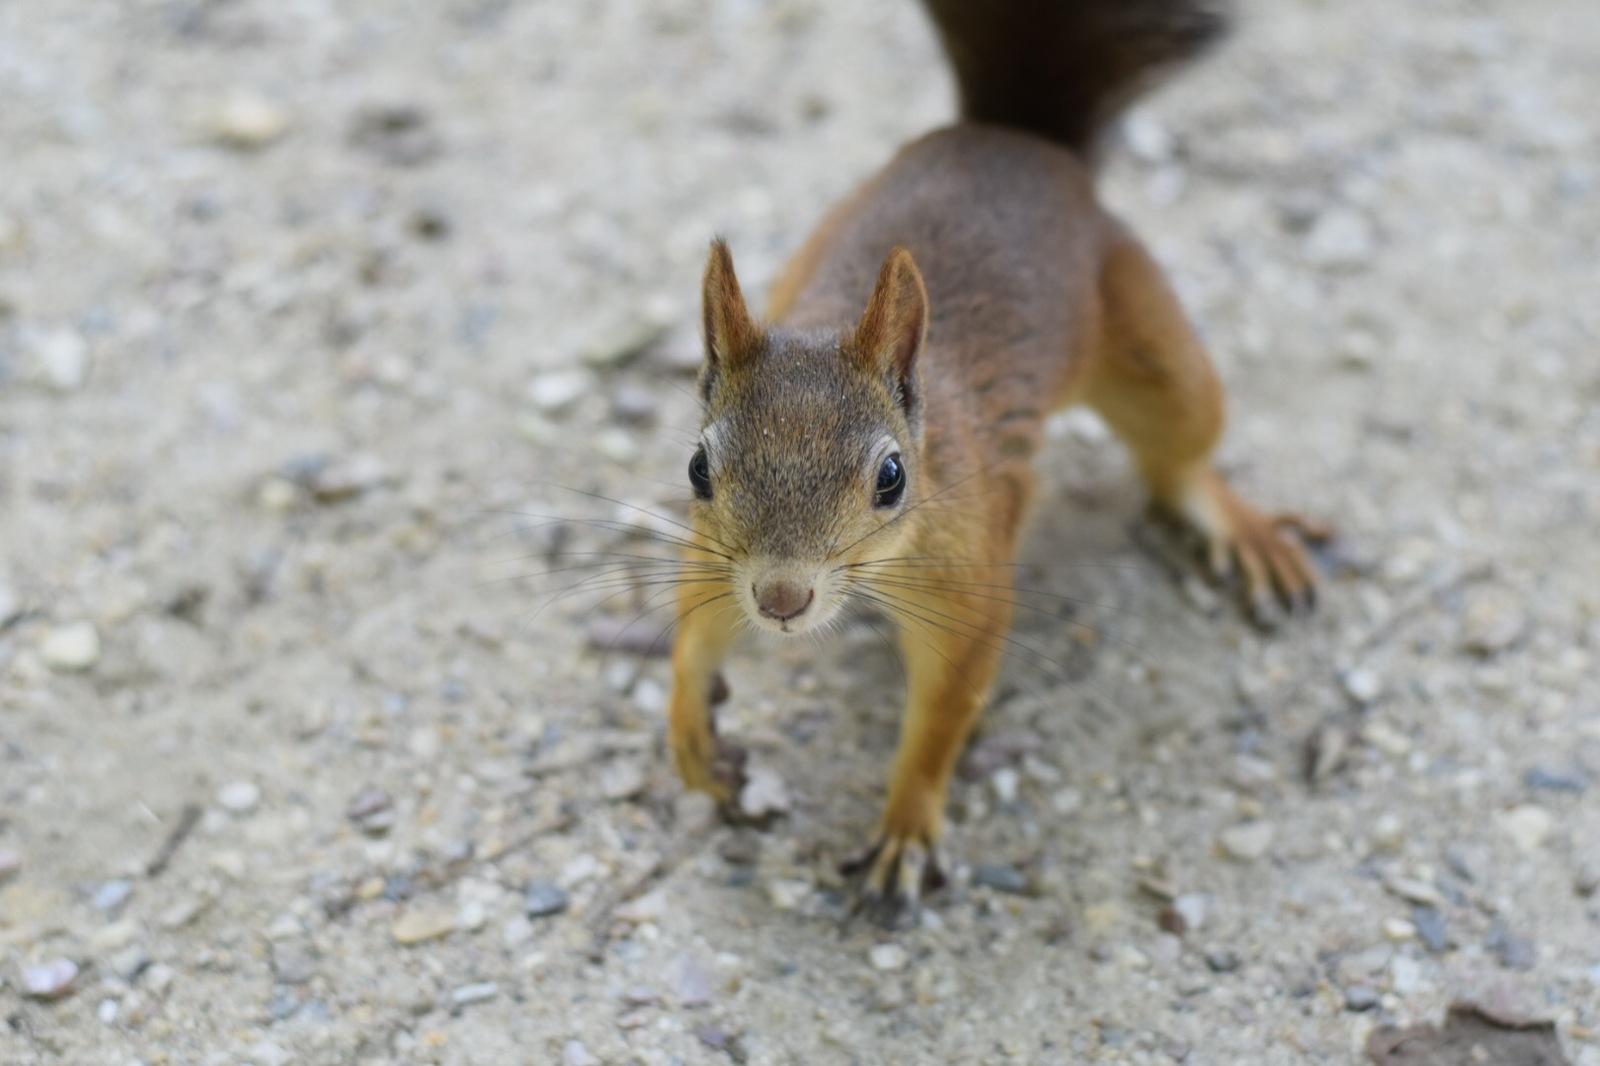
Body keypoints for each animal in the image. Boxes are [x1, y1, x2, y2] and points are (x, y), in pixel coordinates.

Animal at [662, 0, 1324, 915]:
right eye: (698, 468)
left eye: (892, 478)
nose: (784, 600)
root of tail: (1016, 139)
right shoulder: (718, 557)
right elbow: (696, 630)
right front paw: (691, 734)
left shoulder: (969, 581)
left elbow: (946, 708)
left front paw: (906, 823)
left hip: (1157, 350)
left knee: (1178, 460)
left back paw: (1240, 527)